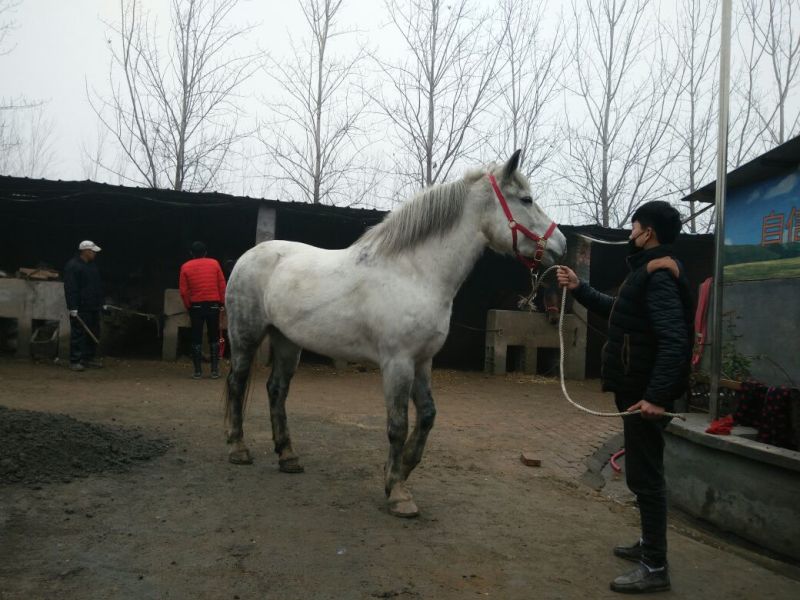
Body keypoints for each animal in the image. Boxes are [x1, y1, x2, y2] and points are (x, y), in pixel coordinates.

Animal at [223, 150, 567, 518]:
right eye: (526, 199)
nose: (561, 243)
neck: (413, 274)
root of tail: (248, 256)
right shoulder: (397, 363)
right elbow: (398, 424)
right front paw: (398, 493)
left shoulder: (422, 361)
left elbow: (427, 415)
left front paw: (401, 469)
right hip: (246, 336)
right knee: (237, 382)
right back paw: (238, 449)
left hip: (287, 341)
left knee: (277, 390)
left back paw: (288, 456)